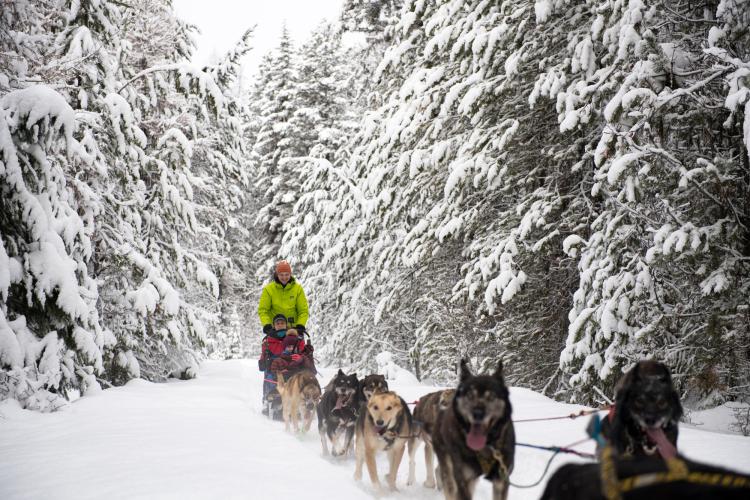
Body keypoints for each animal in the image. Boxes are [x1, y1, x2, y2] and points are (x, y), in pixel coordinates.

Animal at [432, 360, 516, 500]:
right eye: (470, 395)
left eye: (491, 396)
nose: (477, 413)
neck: (486, 446)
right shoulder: (464, 480)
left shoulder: (501, 481)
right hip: (448, 466)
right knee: (449, 485)